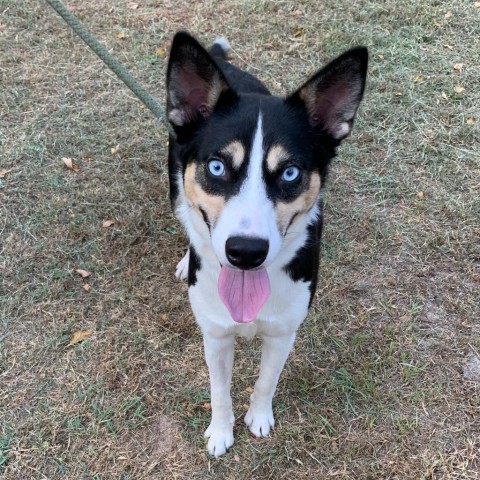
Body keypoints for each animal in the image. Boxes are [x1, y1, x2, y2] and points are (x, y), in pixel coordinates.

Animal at [165, 31, 368, 456]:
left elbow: (265, 381)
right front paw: (220, 432)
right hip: (173, 183)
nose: (245, 252)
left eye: (290, 173)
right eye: (217, 167)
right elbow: (219, 391)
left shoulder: (282, 333)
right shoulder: (216, 335)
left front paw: (258, 418)